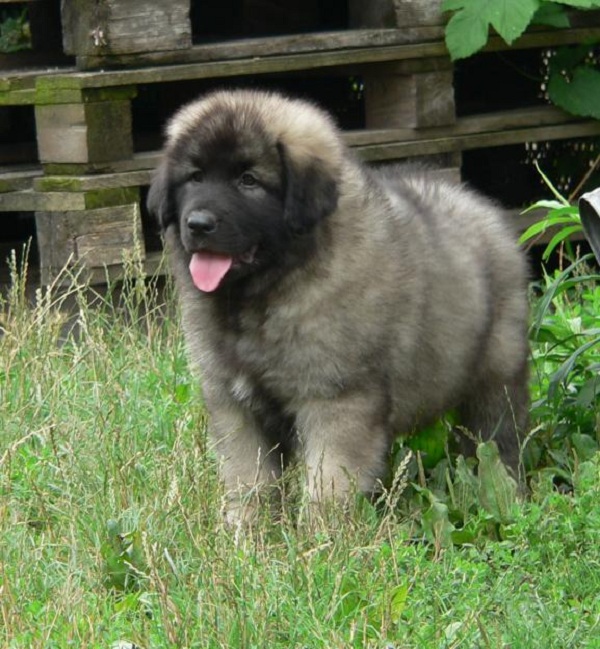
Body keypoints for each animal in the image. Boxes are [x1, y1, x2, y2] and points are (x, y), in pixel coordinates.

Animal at [146, 88, 528, 520]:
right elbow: (248, 481)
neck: (266, 291)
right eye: (194, 177)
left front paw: (322, 535)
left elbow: (328, 484)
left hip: (497, 375)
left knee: (498, 441)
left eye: (249, 180)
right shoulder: (234, 404)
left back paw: (504, 496)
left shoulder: (336, 400)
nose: (198, 224)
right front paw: (246, 532)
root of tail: (484, 209)